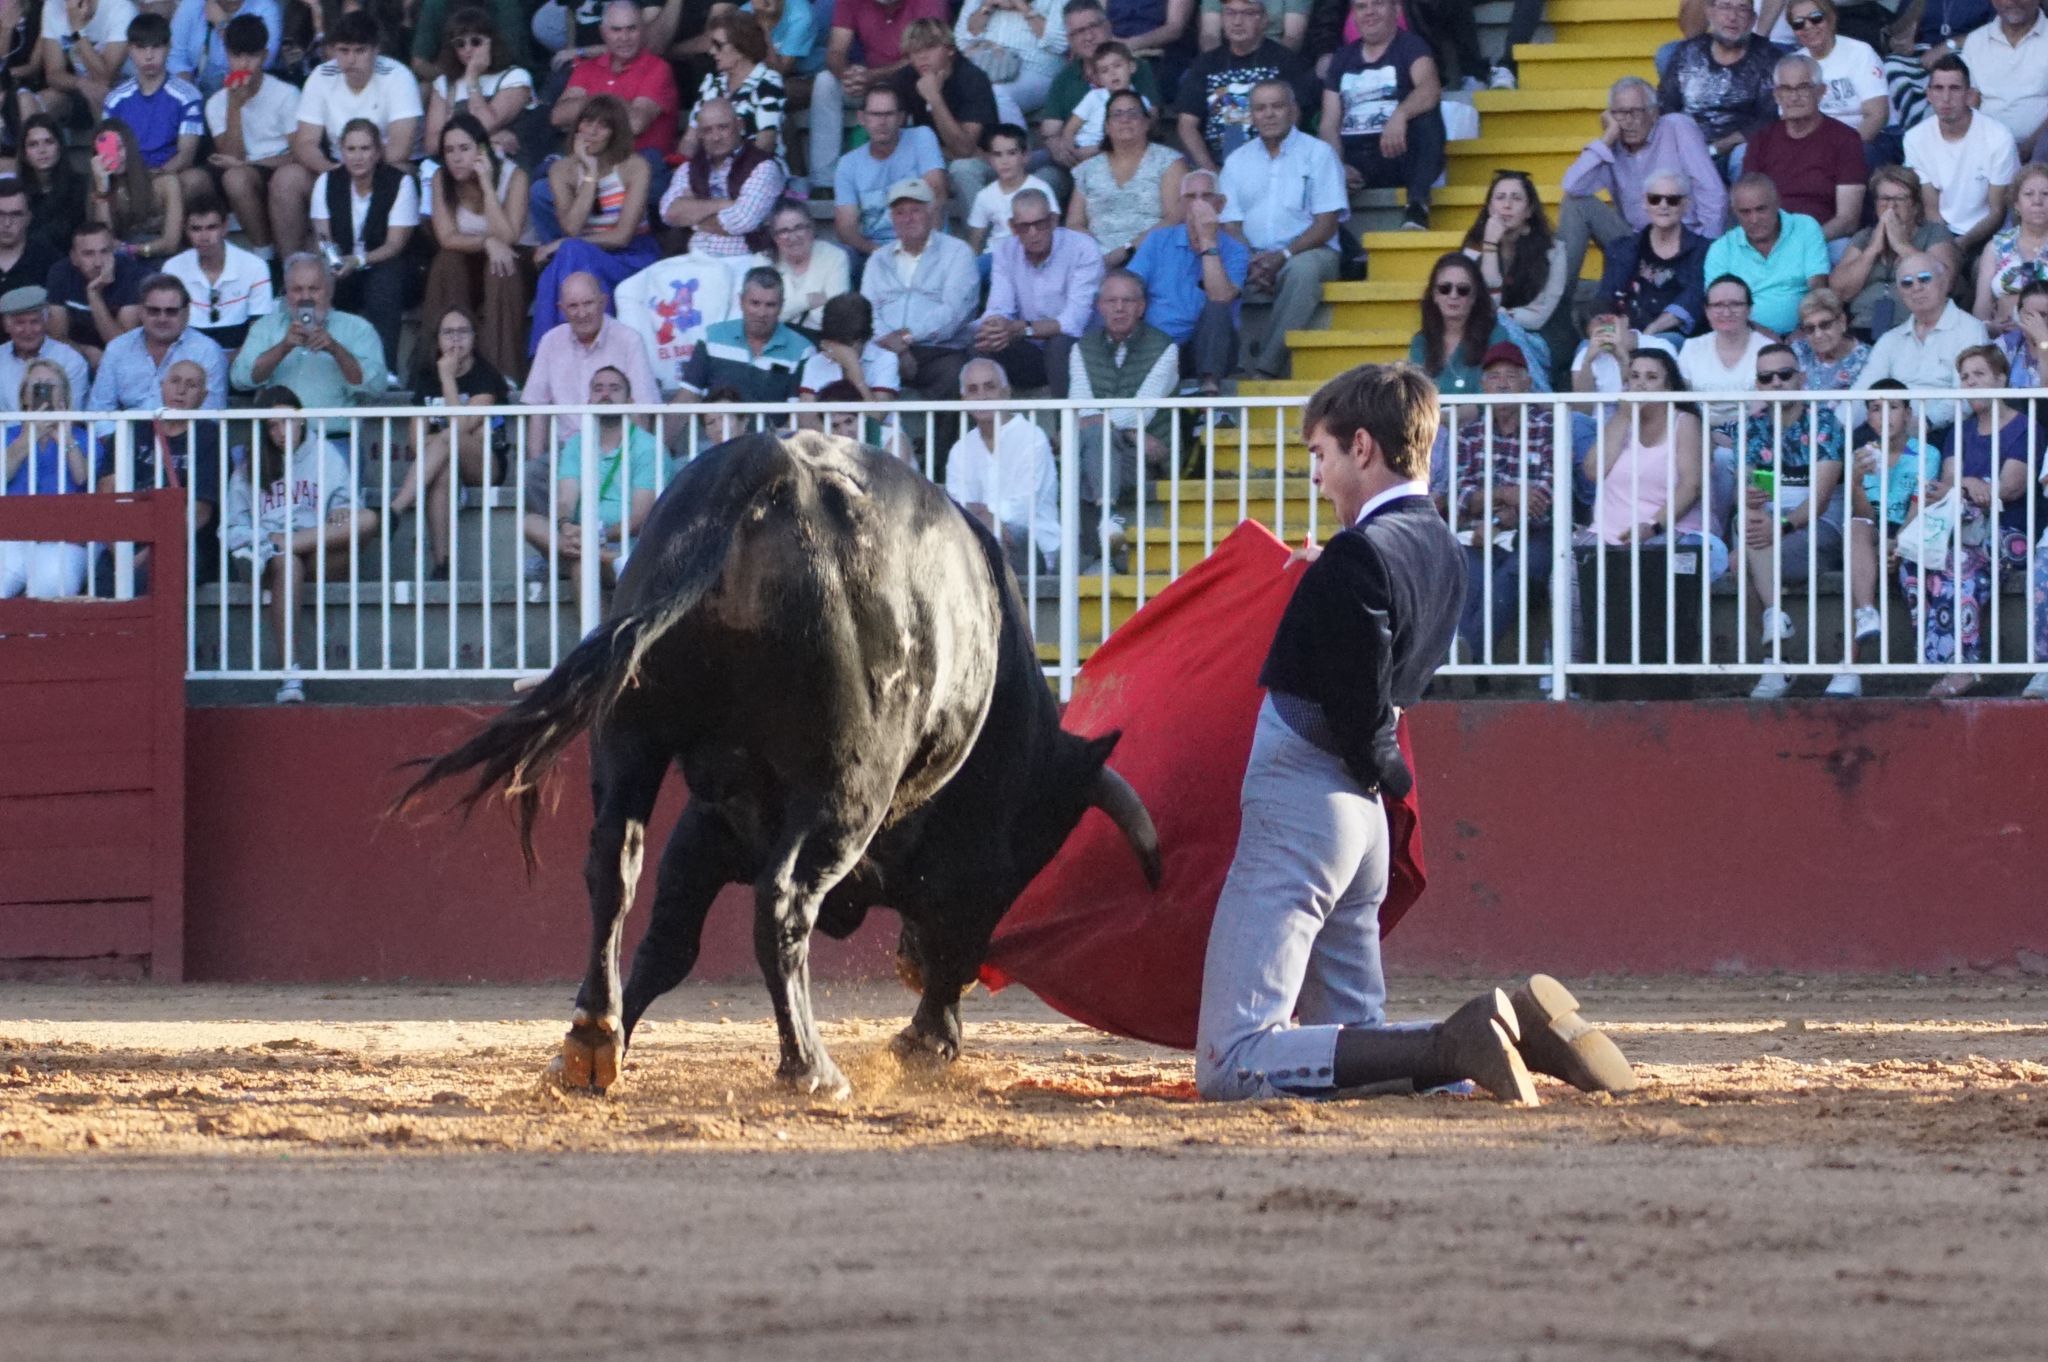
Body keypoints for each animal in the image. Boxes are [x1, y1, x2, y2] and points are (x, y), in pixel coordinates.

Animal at [397, 432, 1163, 1097]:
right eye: (1028, 863)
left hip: (630, 738)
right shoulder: (968, 853)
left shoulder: (709, 822)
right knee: (785, 900)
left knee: (614, 864)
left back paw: (590, 1039)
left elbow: (669, 940)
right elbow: (955, 918)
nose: (909, 967)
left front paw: (606, 1047)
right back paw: (813, 1071)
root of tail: (765, 477)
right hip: (846, 786)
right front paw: (926, 1041)